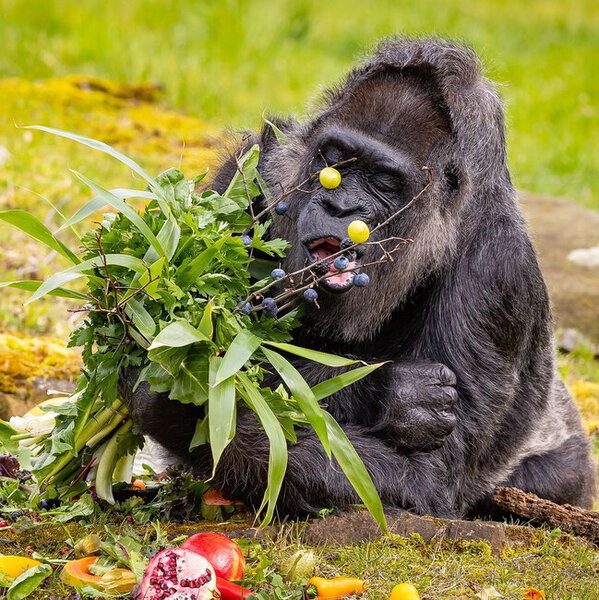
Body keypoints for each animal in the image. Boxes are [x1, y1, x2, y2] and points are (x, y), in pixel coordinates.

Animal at [122, 36, 596, 520]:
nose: (339, 207)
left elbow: (428, 478)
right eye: (332, 160)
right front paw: (389, 393)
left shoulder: (499, 273)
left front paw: (184, 403)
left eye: (384, 181)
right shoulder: (253, 165)